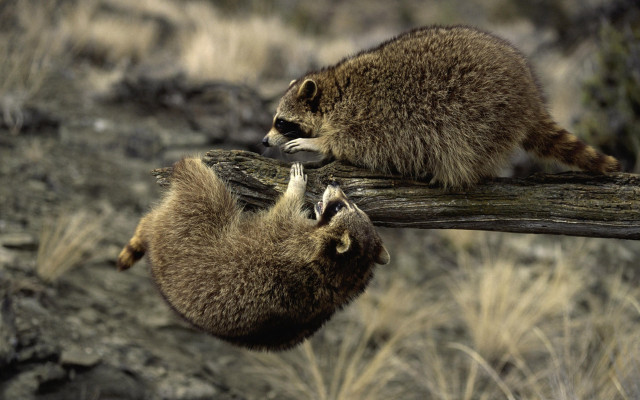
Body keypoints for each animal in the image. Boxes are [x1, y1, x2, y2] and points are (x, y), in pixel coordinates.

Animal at [117, 159, 389, 350]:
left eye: (339, 207)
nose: (334, 185)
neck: (345, 272)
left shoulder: (289, 238)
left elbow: (284, 209)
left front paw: (295, 188)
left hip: (187, 229)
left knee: (206, 192)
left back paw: (190, 167)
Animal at [262, 25, 620, 188]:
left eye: (281, 122)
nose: (264, 141)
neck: (334, 91)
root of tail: (529, 95)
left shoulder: (372, 117)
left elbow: (358, 143)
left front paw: (318, 143)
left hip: (483, 112)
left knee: (465, 145)